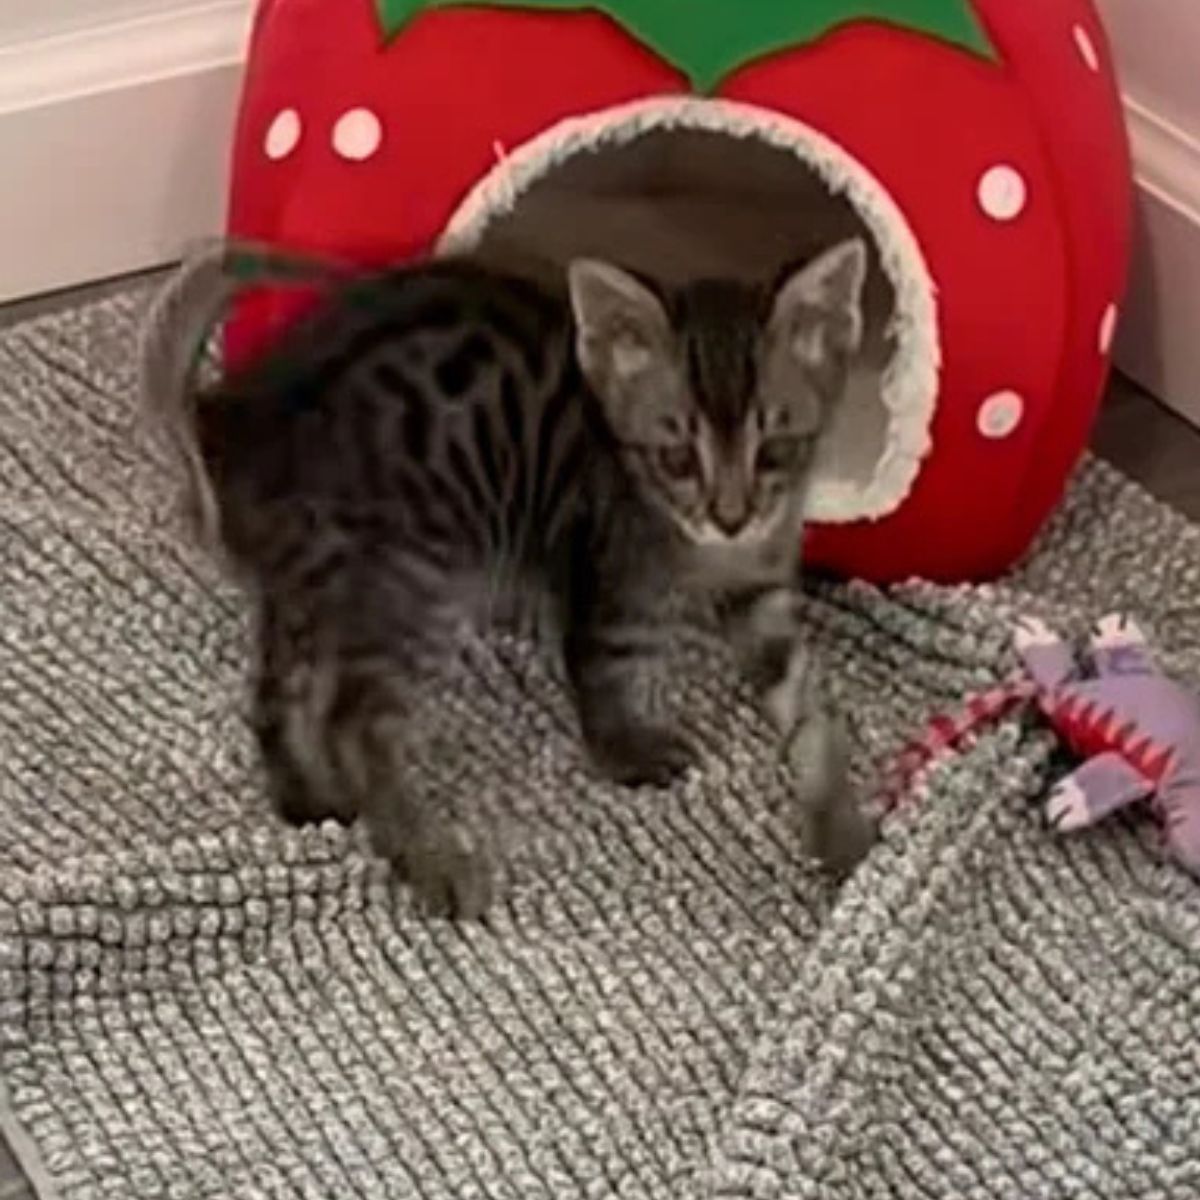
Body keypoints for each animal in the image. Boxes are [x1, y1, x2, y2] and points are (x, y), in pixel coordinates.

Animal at [150, 241, 873, 916]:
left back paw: (306, 796)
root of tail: (233, 415)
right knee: (353, 721)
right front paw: (628, 753)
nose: (731, 515)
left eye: (775, 449)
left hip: (314, 581)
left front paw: (841, 829)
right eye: (676, 457)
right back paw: (429, 859)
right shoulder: (605, 575)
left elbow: (807, 709)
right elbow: (601, 670)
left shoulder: (764, 594)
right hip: (418, 574)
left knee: (277, 691)